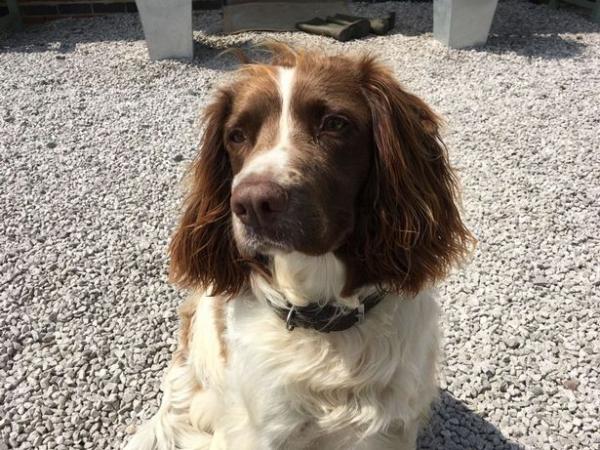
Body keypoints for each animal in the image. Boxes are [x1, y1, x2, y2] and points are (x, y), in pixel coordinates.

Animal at [125, 44, 474, 450]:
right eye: (236, 135)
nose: (253, 204)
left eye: (335, 123)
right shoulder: (261, 431)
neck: (325, 324)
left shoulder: (393, 428)